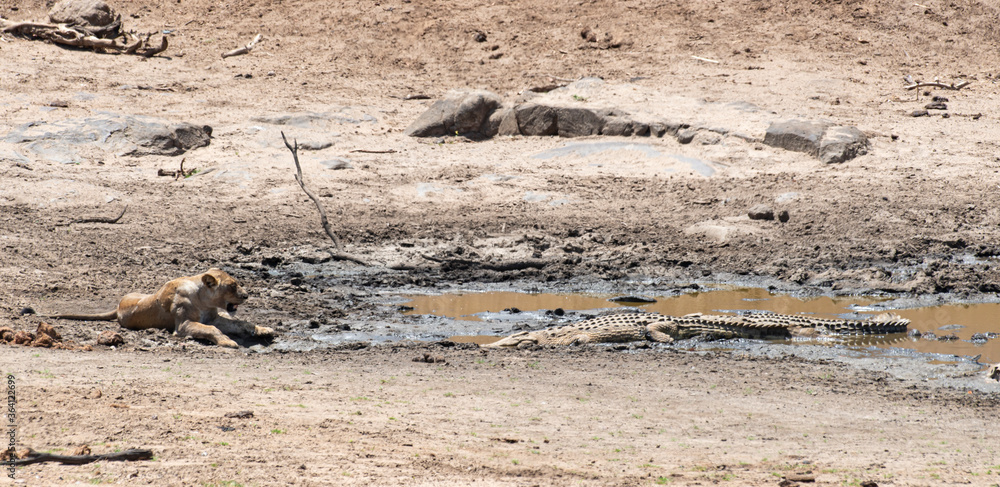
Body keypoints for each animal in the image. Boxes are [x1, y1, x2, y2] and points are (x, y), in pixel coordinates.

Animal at [47, 268, 274, 348]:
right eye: (232, 286)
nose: (246, 295)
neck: (204, 300)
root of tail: (118, 306)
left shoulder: (215, 317)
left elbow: (242, 323)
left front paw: (264, 330)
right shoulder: (183, 326)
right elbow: (211, 330)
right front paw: (228, 342)